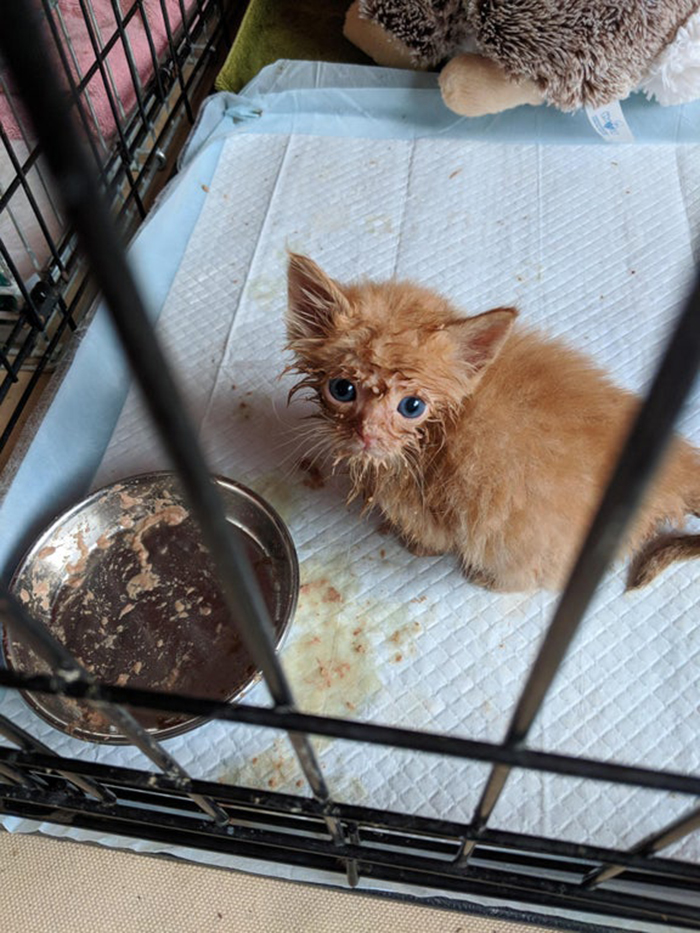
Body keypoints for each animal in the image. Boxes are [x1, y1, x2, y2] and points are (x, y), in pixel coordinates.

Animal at [284, 255, 700, 588]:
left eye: (412, 406)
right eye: (342, 389)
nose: (366, 435)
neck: (438, 429)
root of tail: (673, 464)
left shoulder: (424, 505)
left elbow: (430, 538)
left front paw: (412, 545)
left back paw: (486, 578)